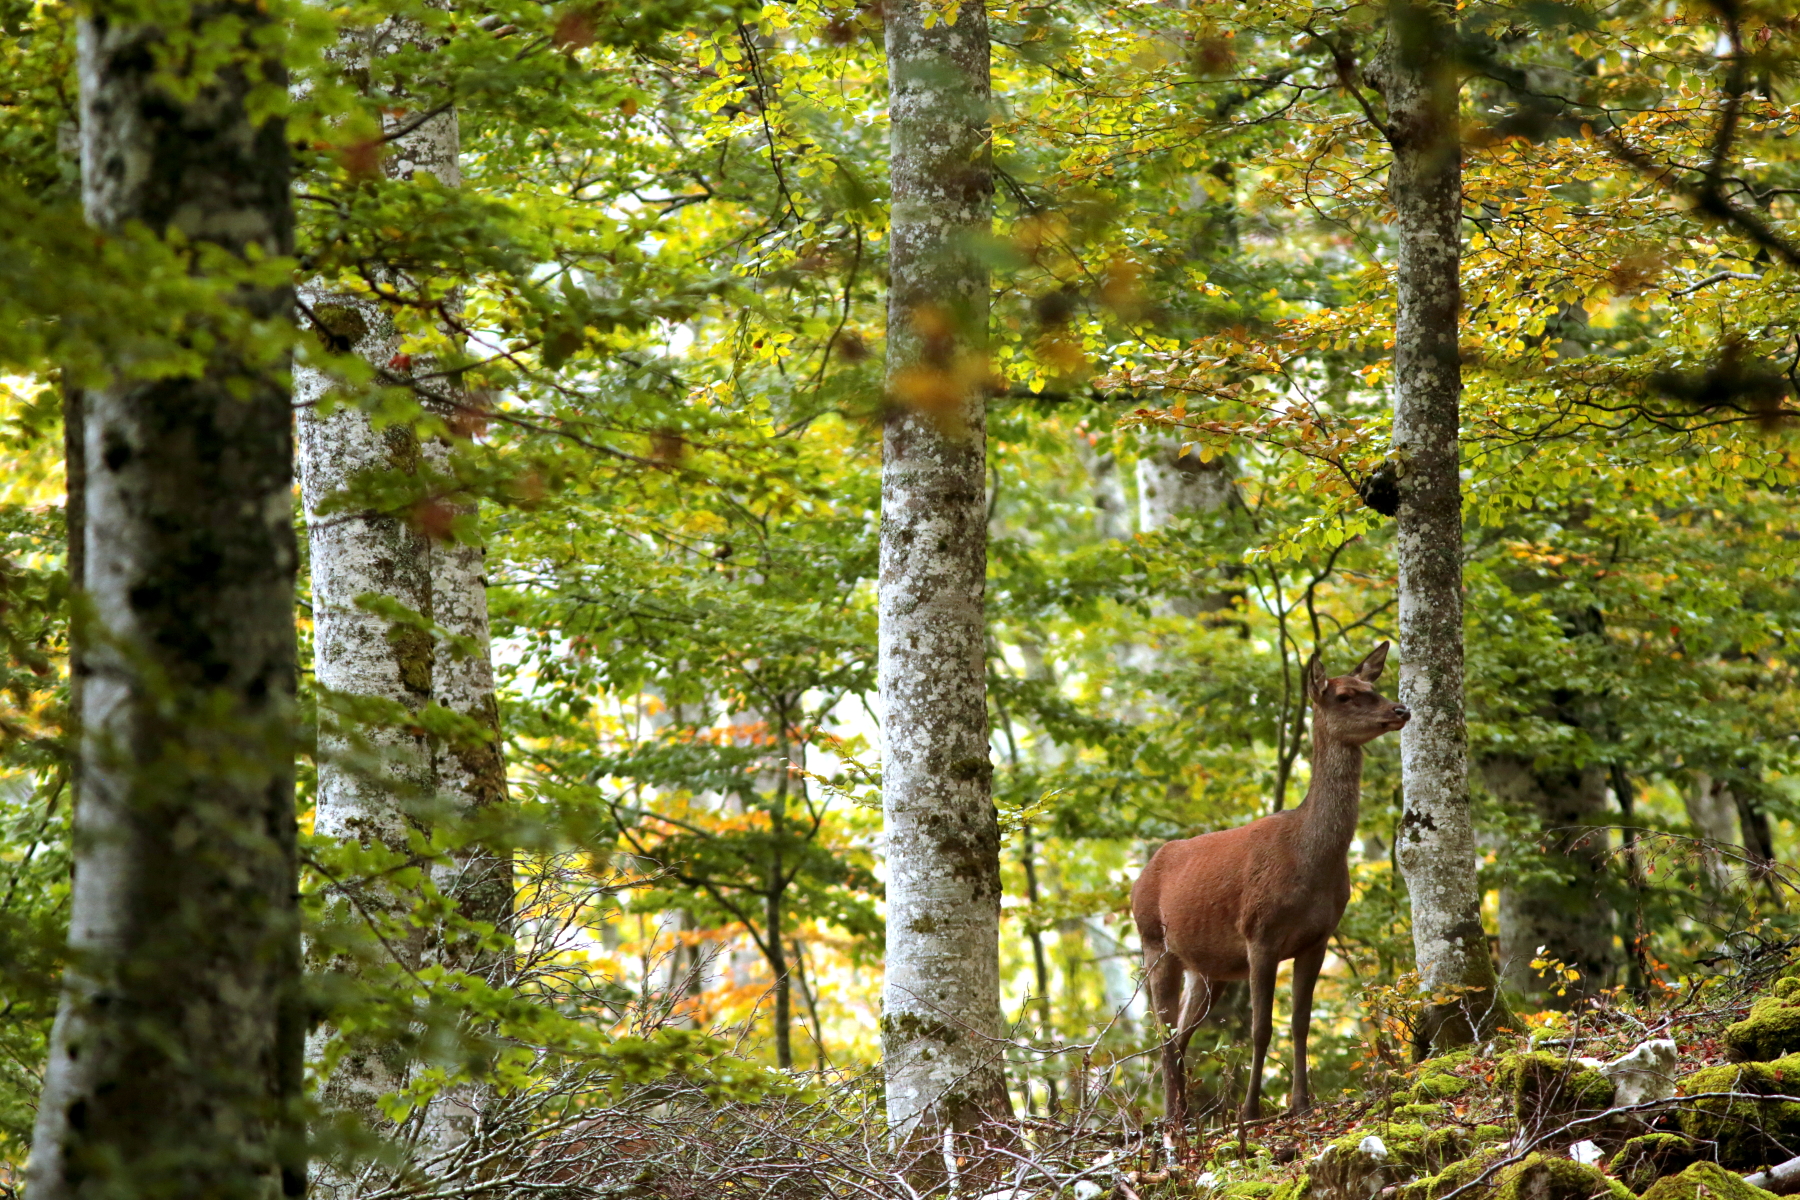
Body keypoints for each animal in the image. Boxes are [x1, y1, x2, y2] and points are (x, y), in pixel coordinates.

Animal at [1137, 636, 1404, 1137]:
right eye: (1345, 695)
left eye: (1372, 686)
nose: (1401, 709)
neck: (1310, 860)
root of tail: (1142, 874)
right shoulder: (1259, 934)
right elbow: (1261, 1028)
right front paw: (1251, 1111)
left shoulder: (1317, 938)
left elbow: (1299, 1023)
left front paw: (1301, 1102)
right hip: (1154, 943)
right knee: (1162, 1035)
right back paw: (1170, 1122)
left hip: (1207, 969)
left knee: (1180, 1037)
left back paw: (1182, 1119)